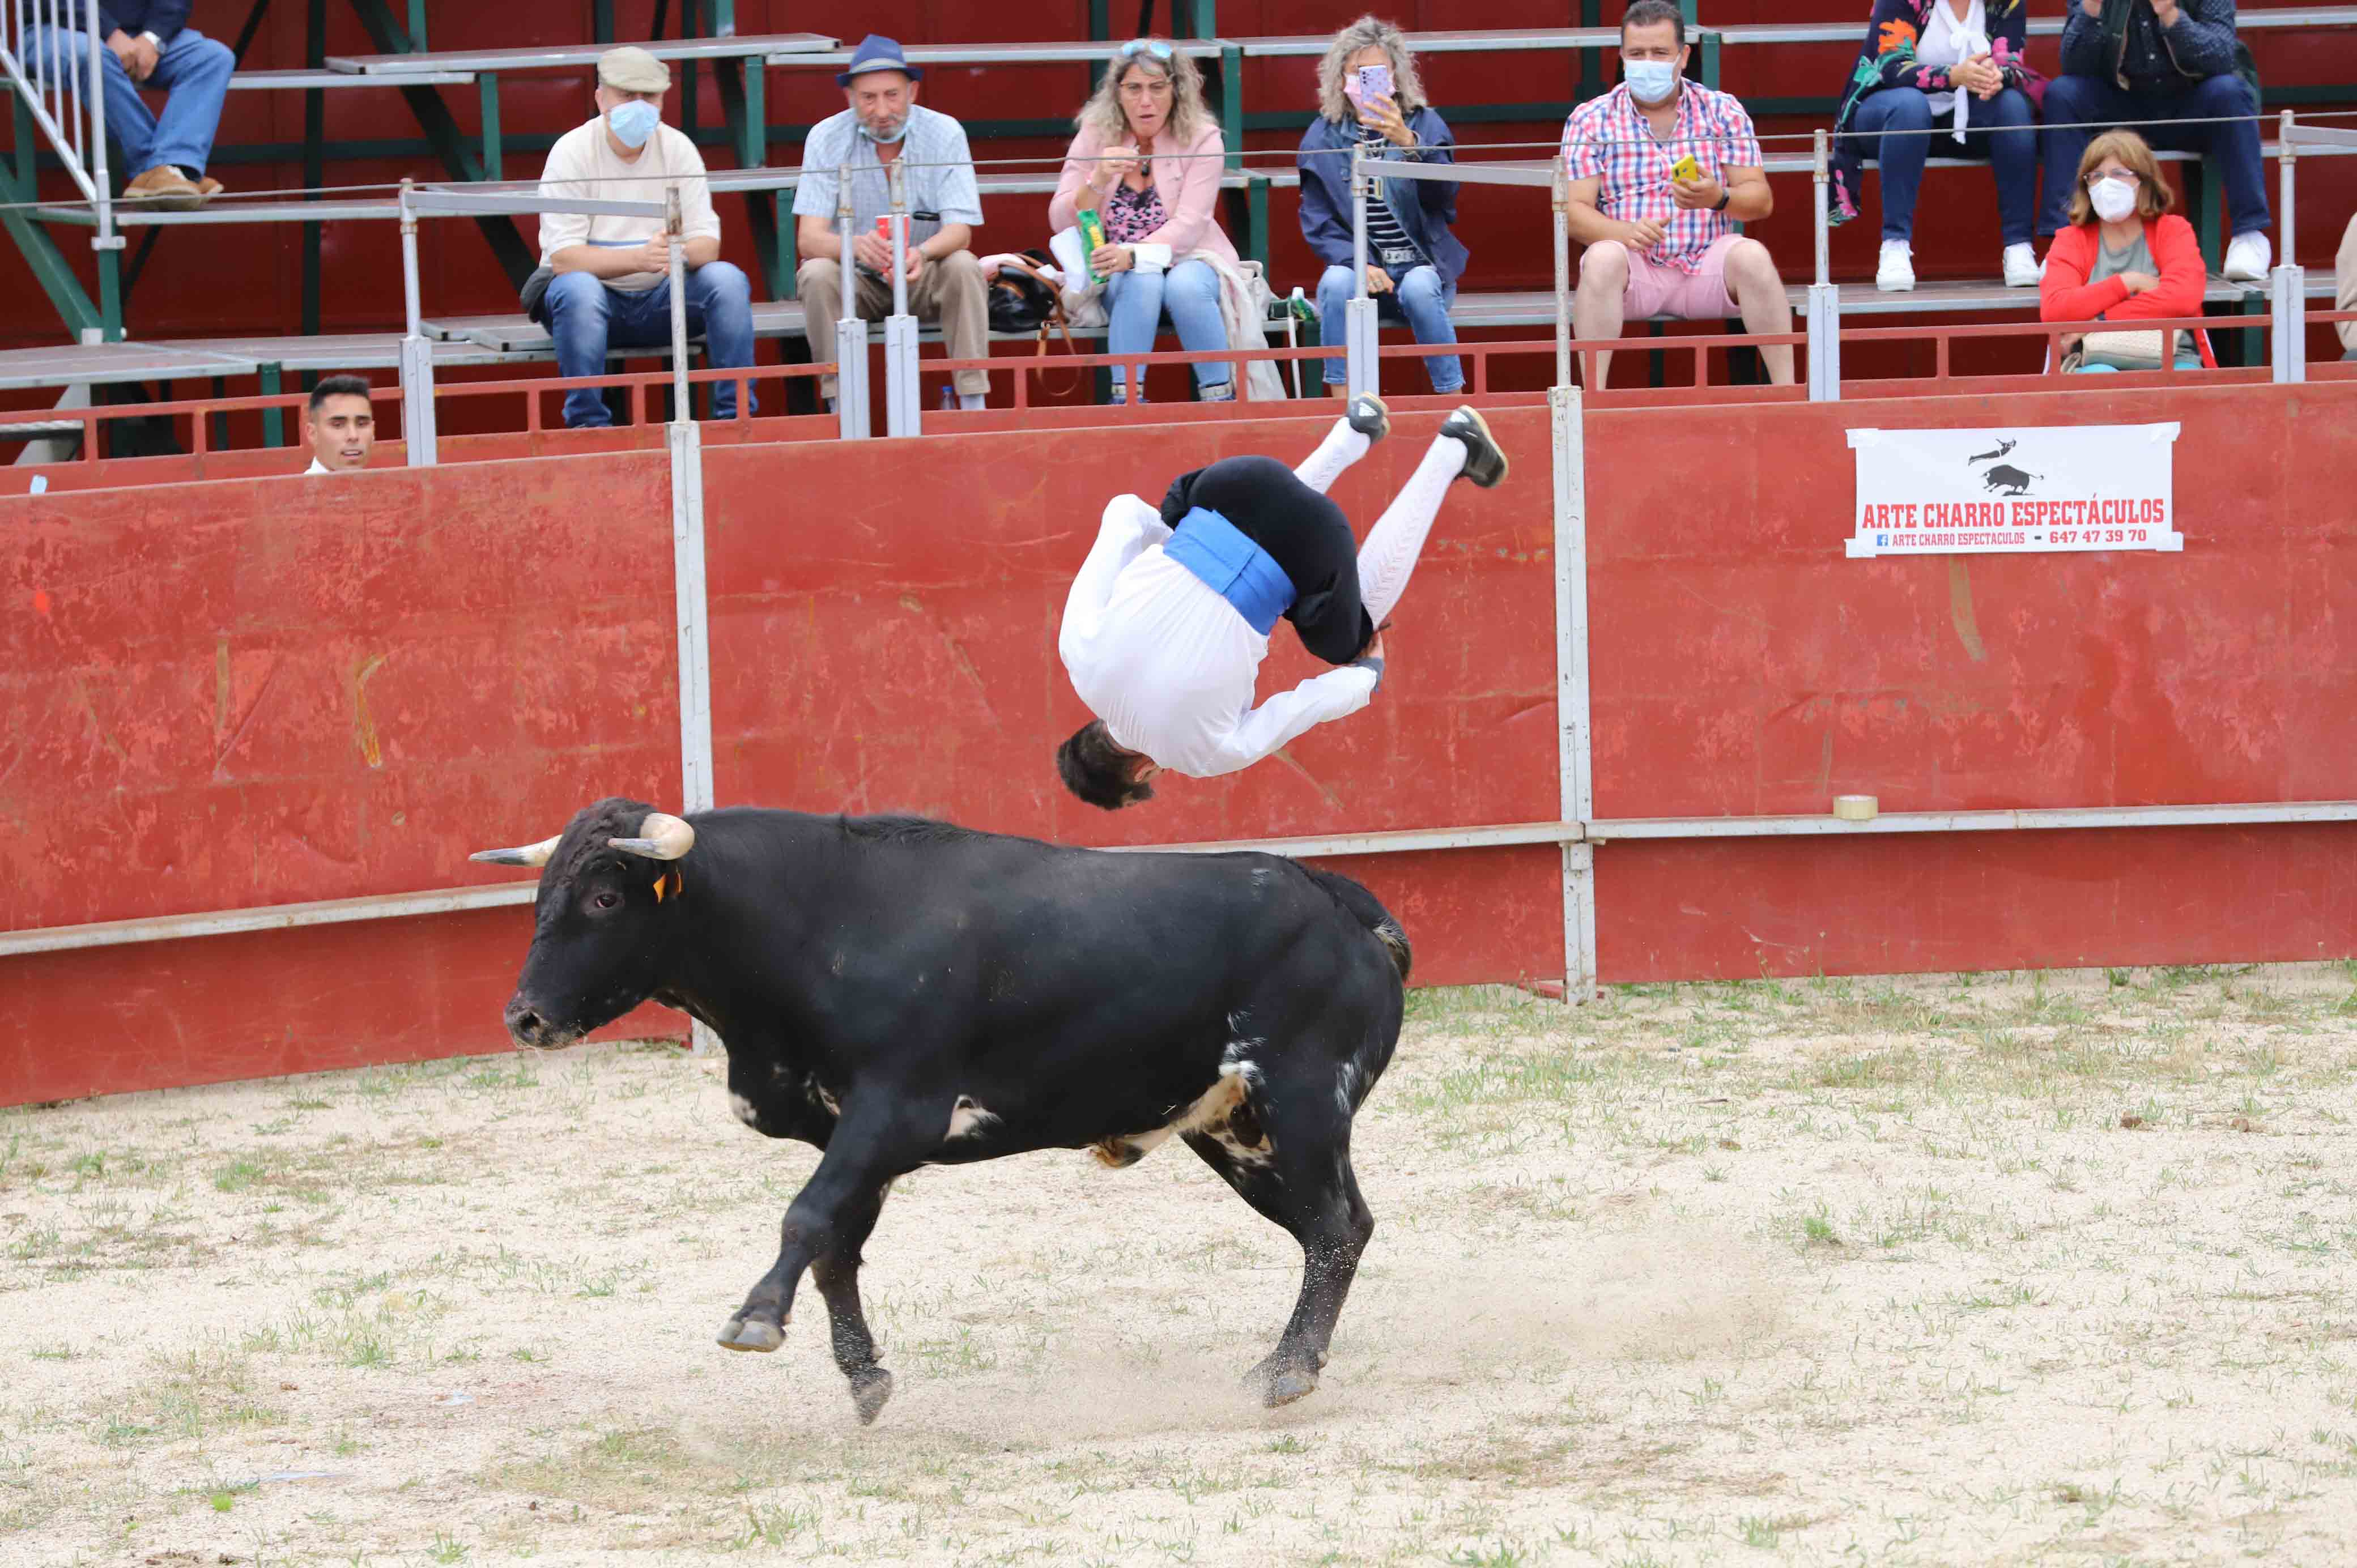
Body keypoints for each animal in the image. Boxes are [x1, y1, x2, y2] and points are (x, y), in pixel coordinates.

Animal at [469, 796, 1405, 1414]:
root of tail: (1340, 902)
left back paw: (1288, 1369)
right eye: (543, 895)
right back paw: (1288, 1362)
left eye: (605, 896)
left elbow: (806, 1219)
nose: (525, 1017)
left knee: (1336, 1228)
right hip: (1233, 1131)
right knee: (1330, 1230)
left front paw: (755, 1320)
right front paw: (865, 1377)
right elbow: (837, 1248)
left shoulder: (895, 1110)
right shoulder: (850, 1134)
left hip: (1302, 1102)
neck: (816, 921)